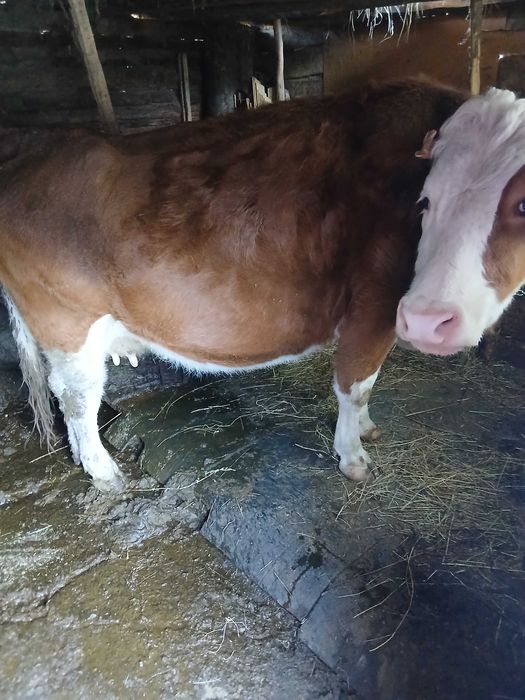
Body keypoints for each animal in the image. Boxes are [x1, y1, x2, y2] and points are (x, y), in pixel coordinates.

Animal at [0, 80, 524, 491]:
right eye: (425, 199)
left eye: (520, 206)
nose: (429, 319)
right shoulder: (373, 307)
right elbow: (355, 386)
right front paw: (353, 457)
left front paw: (367, 430)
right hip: (67, 323)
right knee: (77, 398)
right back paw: (104, 471)